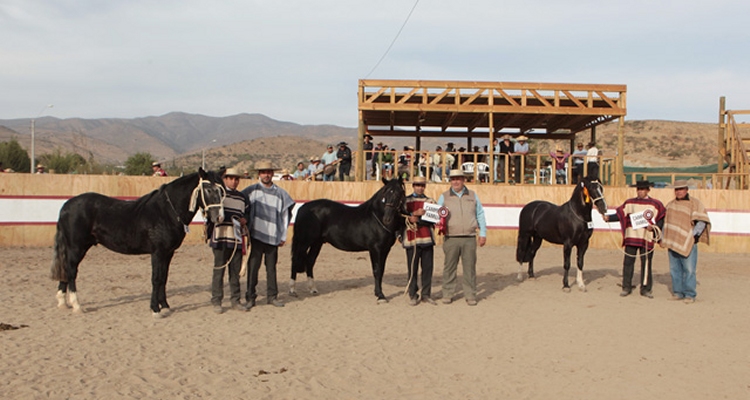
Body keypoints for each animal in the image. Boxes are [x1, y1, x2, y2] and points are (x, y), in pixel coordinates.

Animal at [50, 167, 226, 318]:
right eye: (208, 189)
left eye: (222, 191)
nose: (219, 217)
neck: (166, 212)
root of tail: (66, 206)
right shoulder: (158, 252)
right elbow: (156, 279)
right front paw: (155, 309)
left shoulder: (168, 253)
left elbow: (164, 278)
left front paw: (165, 306)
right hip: (77, 247)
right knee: (71, 271)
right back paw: (77, 305)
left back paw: (62, 302)